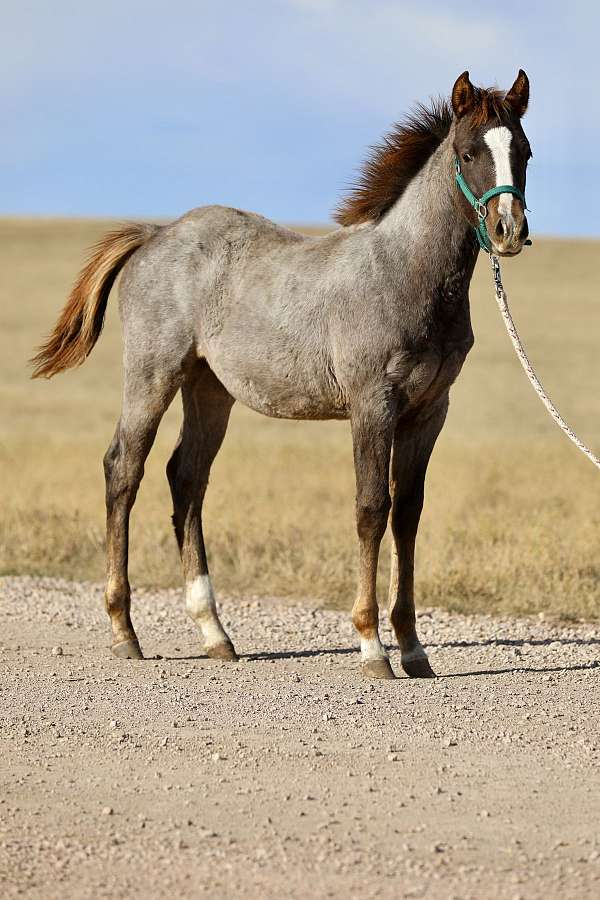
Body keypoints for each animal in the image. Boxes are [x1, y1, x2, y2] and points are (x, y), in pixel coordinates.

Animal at [30, 70, 532, 680]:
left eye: (523, 151)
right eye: (468, 153)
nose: (508, 230)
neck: (407, 275)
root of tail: (156, 233)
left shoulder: (429, 410)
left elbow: (408, 514)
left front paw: (413, 649)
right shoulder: (373, 404)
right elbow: (372, 509)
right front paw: (371, 647)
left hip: (209, 389)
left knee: (186, 477)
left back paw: (215, 634)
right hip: (153, 374)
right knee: (124, 468)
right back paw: (124, 631)